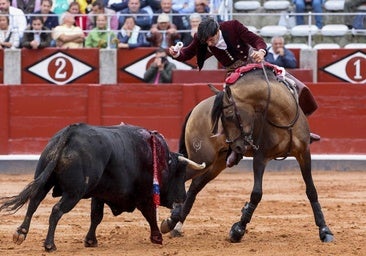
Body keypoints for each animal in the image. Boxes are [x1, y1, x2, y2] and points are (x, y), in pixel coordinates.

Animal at [0, 123, 206, 251]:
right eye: (180, 173)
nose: (182, 196)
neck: (159, 159)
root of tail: (71, 133)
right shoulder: (144, 195)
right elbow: (150, 214)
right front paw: (157, 237)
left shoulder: (98, 194)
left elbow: (96, 216)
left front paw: (90, 241)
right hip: (74, 192)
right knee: (56, 210)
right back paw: (49, 245)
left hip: (45, 177)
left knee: (34, 201)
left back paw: (20, 233)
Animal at [162, 63, 334, 243]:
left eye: (229, 115)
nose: (237, 147)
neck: (283, 117)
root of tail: (196, 108)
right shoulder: (261, 157)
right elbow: (257, 193)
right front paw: (238, 229)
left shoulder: (303, 153)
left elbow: (311, 190)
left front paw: (324, 230)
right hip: (202, 158)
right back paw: (171, 219)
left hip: (216, 163)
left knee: (195, 186)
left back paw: (175, 224)